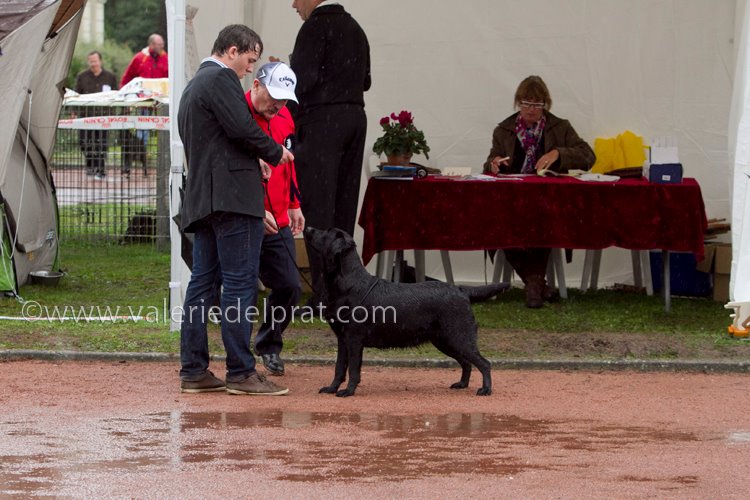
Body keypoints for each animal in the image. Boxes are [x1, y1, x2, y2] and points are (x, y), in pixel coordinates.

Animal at [302, 228, 508, 398]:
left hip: (459, 338)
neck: (348, 283)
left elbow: (352, 369)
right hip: (446, 341)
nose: (308, 228)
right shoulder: (342, 339)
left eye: (326, 232)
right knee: (467, 363)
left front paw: (348, 391)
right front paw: (331, 388)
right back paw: (462, 384)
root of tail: (461, 290)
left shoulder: (354, 339)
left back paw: (485, 389)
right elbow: (338, 368)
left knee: (484, 363)